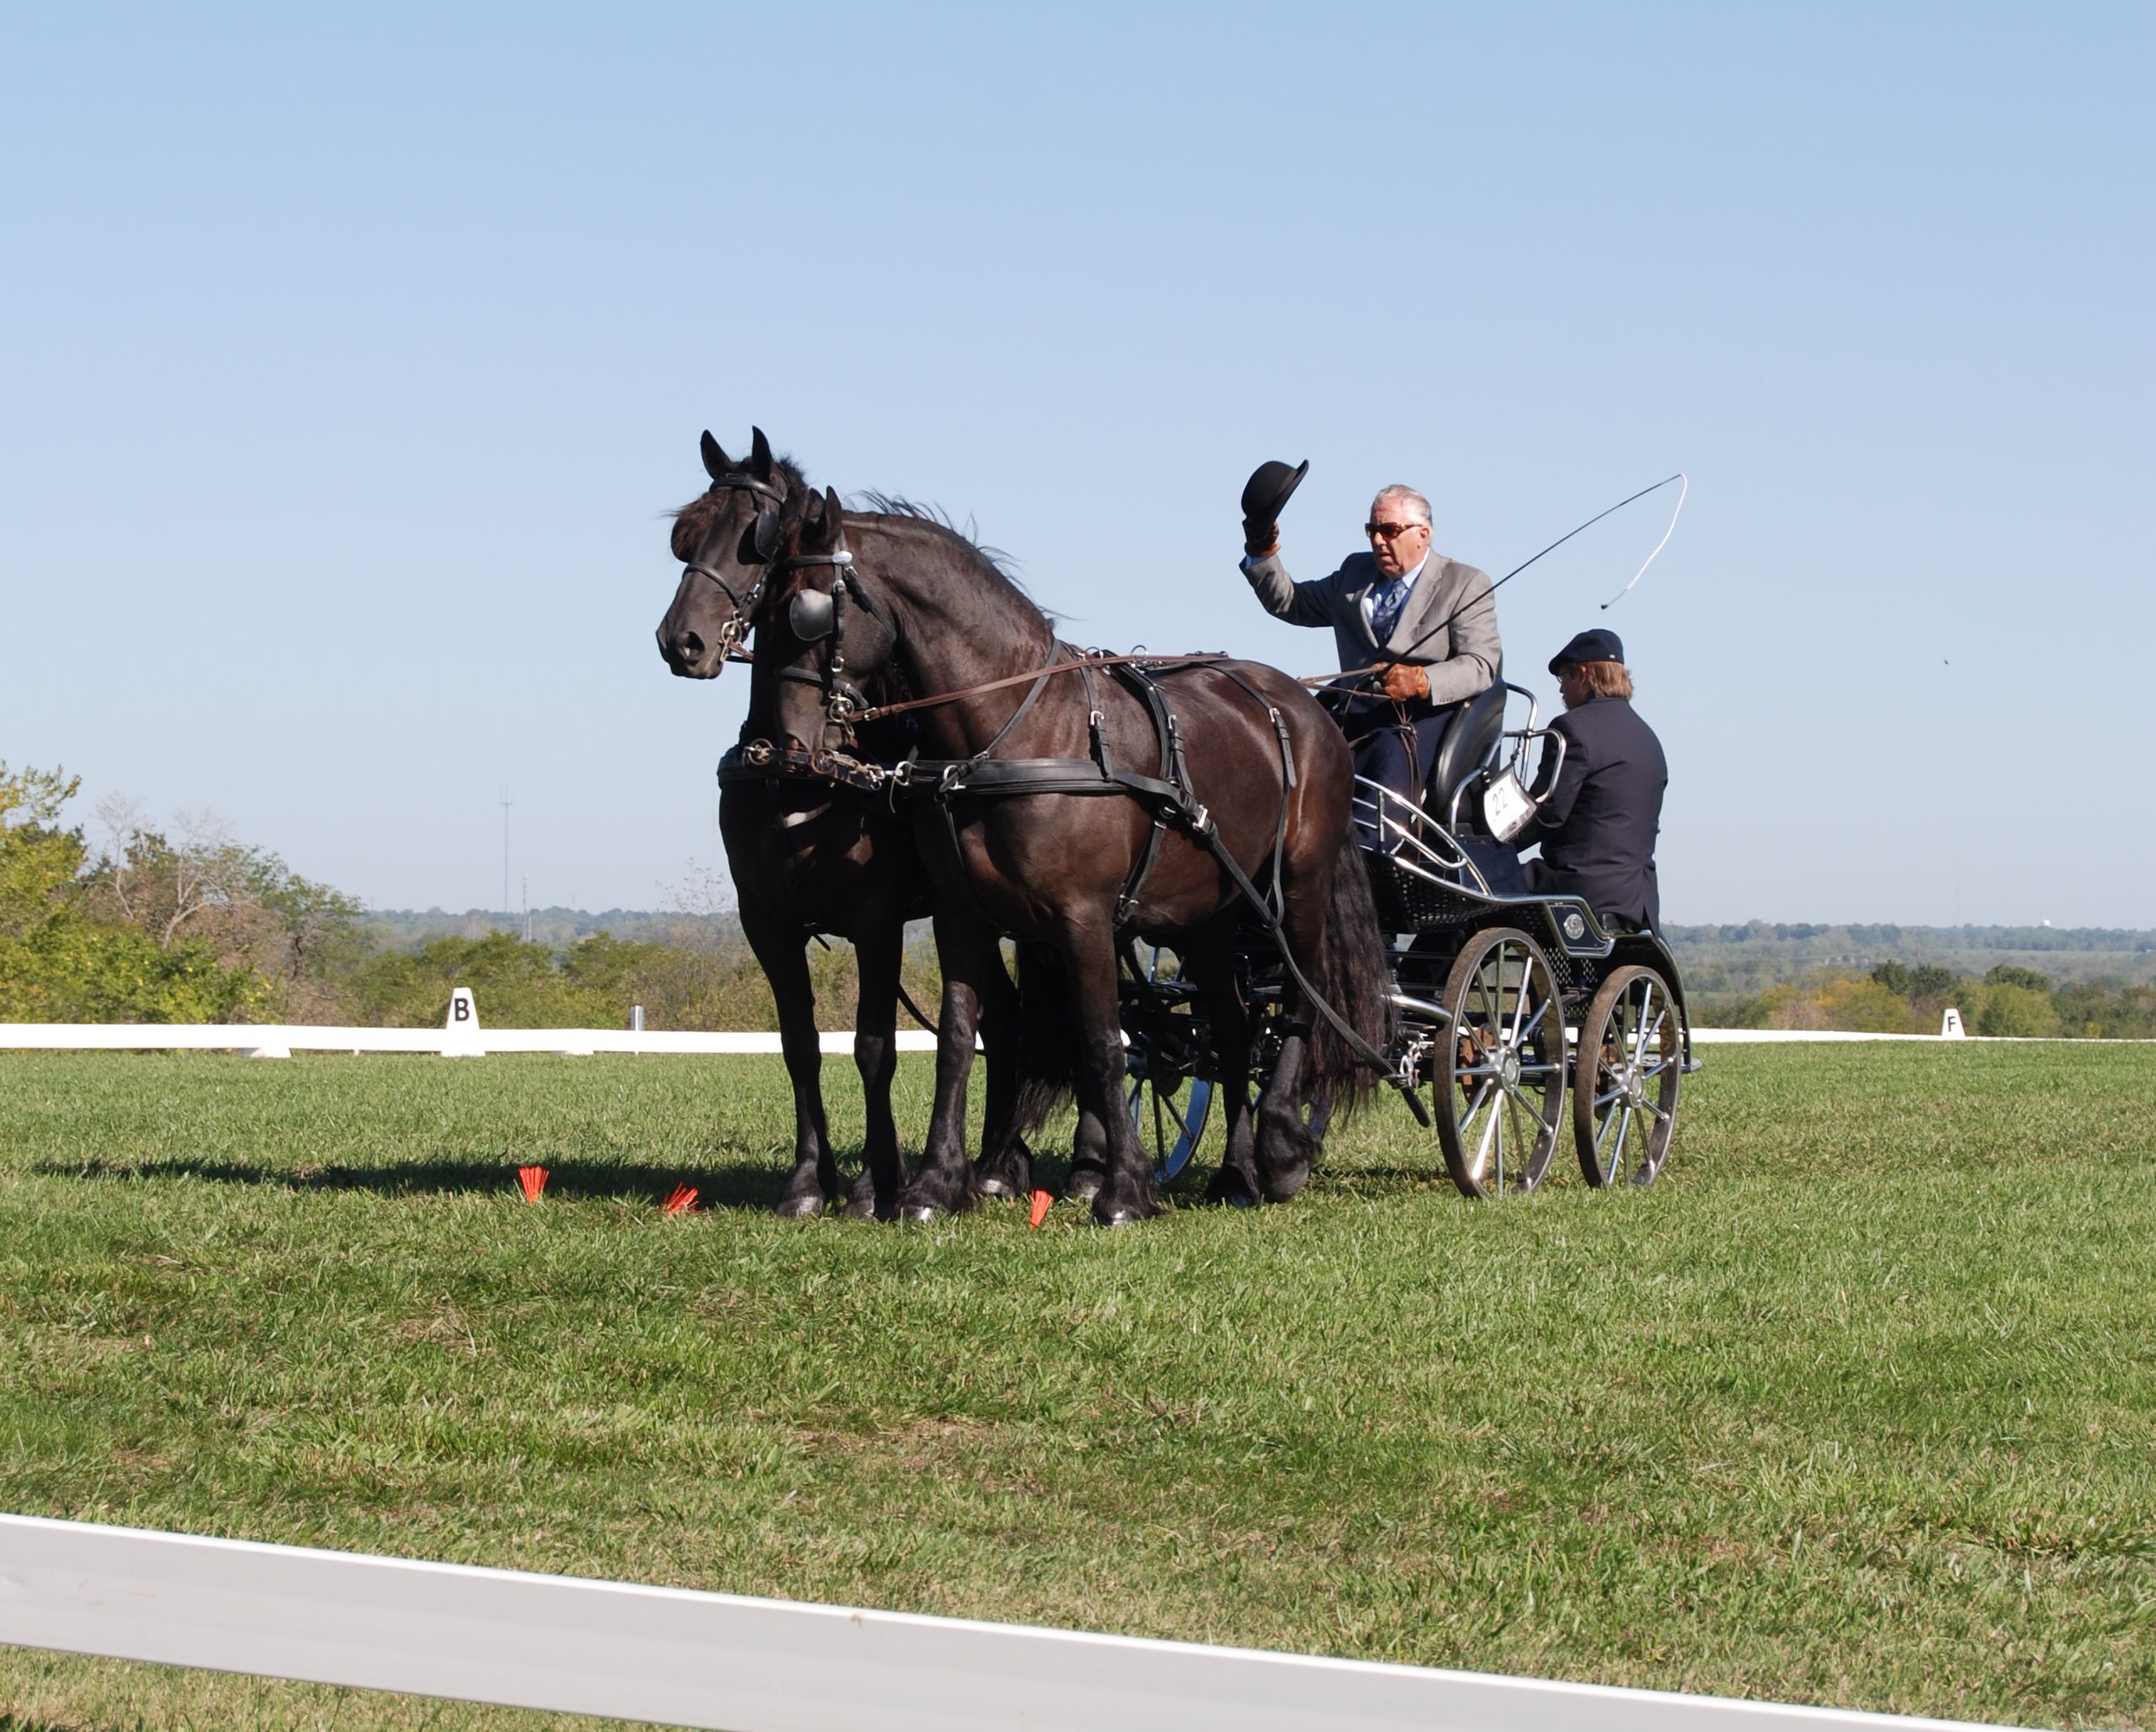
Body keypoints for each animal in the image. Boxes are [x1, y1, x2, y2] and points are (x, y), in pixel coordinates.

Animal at [655, 429, 1053, 1217]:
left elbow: (874, 1046)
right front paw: (811, 1181)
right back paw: (993, 1163)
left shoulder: (876, 918)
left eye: (755, 540)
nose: (681, 642)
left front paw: (878, 1182)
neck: (796, 768)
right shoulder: (766, 920)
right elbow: (800, 1044)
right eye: (684, 536)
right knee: (1003, 1015)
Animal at [751, 484, 1393, 1226]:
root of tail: (1307, 706)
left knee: (1299, 1000)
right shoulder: (960, 916)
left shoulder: (1083, 917)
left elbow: (1101, 1042)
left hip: (1297, 888)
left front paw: (1122, 1189)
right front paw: (935, 1185)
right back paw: (1236, 1175)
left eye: (807, 611)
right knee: (1232, 1030)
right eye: (761, 610)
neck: (1010, 732)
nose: (790, 747)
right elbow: (957, 1040)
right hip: (1210, 917)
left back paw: (1283, 1147)